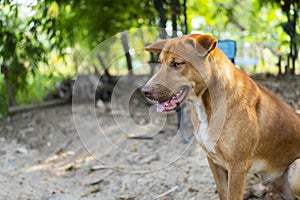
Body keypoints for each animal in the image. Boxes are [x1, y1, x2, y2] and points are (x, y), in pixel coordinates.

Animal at [142, 33, 300, 199]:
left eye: (177, 64)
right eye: (159, 63)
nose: (145, 91)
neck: (205, 106)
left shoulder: (238, 167)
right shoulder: (214, 161)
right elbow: (223, 192)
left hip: (296, 167)